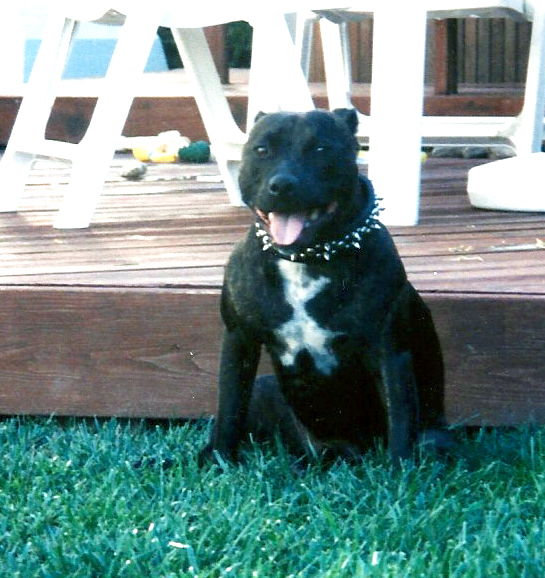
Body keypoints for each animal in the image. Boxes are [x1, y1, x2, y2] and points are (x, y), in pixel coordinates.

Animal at [200, 110, 450, 466]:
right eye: (261, 150)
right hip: (265, 392)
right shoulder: (239, 340)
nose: (283, 184)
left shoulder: (389, 350)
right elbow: (229, 410)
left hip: (432, 436)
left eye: (321, 149)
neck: (307, 259)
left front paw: (399, 472)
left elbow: (400, 418)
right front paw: (220, 462)